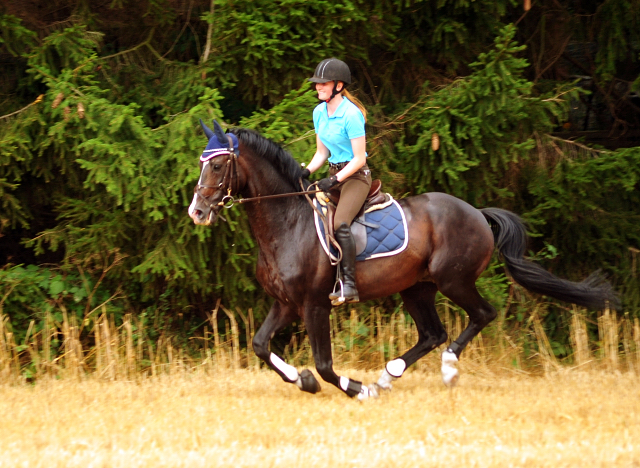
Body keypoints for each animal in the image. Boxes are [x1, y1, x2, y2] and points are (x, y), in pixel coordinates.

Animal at [188, 119, 616, 398]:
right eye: (201, 162)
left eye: (218, 164)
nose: (197, 211)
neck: (287, 222)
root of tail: (478, 213)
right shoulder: (286, 302)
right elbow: (260, 345)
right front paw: (304, 380)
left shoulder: (313, 304)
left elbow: (325, 364)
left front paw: (354, 388)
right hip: (417, 288)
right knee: (432, 333)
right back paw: (388, 375)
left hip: (453, 280)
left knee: (481, 315)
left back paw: (444, 369)